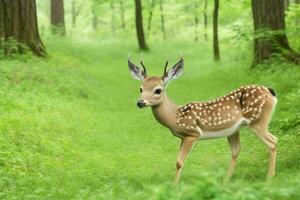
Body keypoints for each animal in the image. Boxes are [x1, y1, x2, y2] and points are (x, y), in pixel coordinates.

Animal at [127, 55, 278, 183]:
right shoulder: (183, 137)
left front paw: (174, 187)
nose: (140, 102)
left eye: (158, 90)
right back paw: (225, 181)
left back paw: (269, 179)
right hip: (234, 131)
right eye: (141, 89)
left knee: (273, 141)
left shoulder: (192, 133)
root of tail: (270, 91)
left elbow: (179, 162)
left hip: (257, 120)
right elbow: (177, 161)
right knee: (236, 151)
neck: (176, 116)